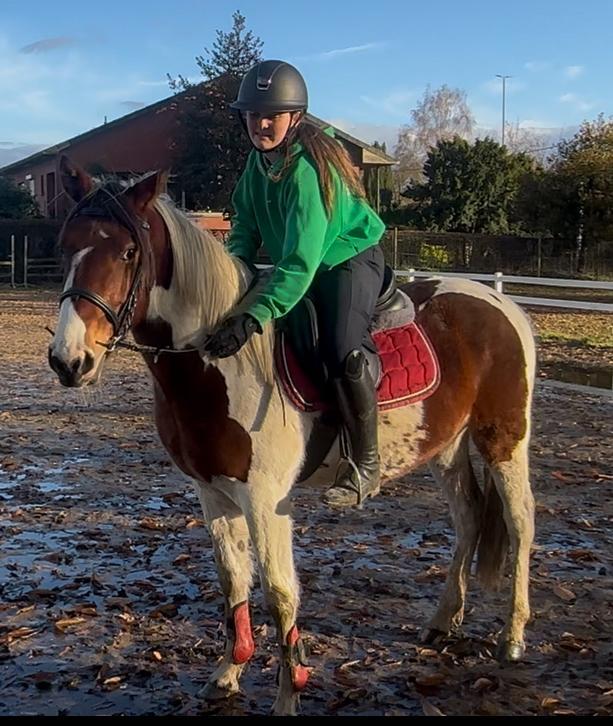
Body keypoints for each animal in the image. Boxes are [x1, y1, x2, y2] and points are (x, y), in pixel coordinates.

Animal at [48, 157, 536, 716]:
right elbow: (232, 580)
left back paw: (512, 637)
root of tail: (499, 301)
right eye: (65, 245)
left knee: (520, 522)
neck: (219, 360)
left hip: (504, 441)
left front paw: (288, 691)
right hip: (447, 447)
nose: (69, 361)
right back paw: (443, 622)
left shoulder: (265, 499)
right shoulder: (213, 492)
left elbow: (280, 594)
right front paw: (228, 671)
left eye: (128, 253)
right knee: (469, 517)